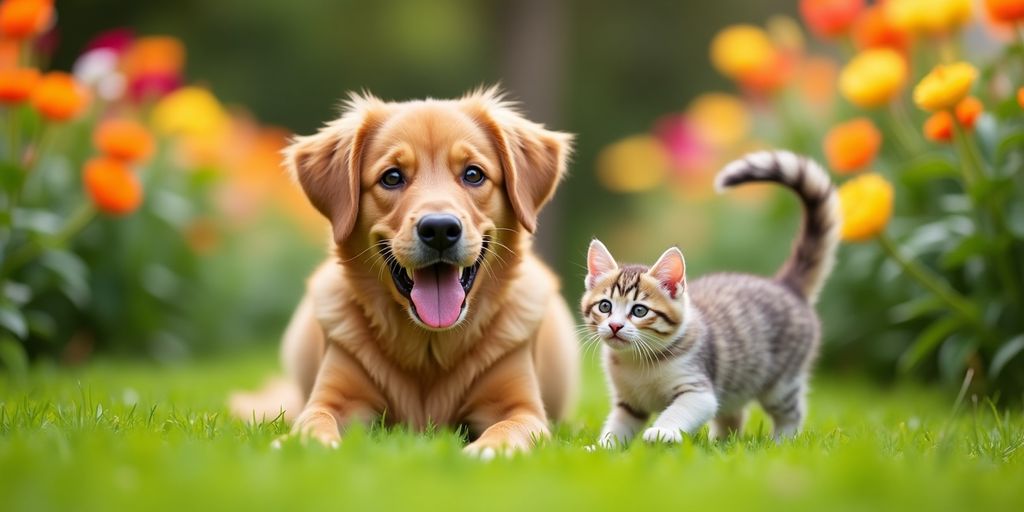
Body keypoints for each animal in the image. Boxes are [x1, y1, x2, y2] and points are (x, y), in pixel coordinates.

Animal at [234, 87, 585, 456]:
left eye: (473, 174)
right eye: (392, 177)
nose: (440, 229)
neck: (429, 349)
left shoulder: (521, 408)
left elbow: (510, 428)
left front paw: (486, 451)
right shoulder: (334, 397)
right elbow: (315, 419)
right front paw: (305, 445)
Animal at [585, 149, 839, 446]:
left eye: (639, 311)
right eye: (605, 306)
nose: (615, 326)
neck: (637, 362)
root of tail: (785, 284)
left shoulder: (698, 390)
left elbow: (679, 410)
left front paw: (662, 432)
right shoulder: (629, 402)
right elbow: (618, 425)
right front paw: (602, 447)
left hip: (781, 382)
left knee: (792, 411)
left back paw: (782, 442)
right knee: (734, 415)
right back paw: (721, 444)